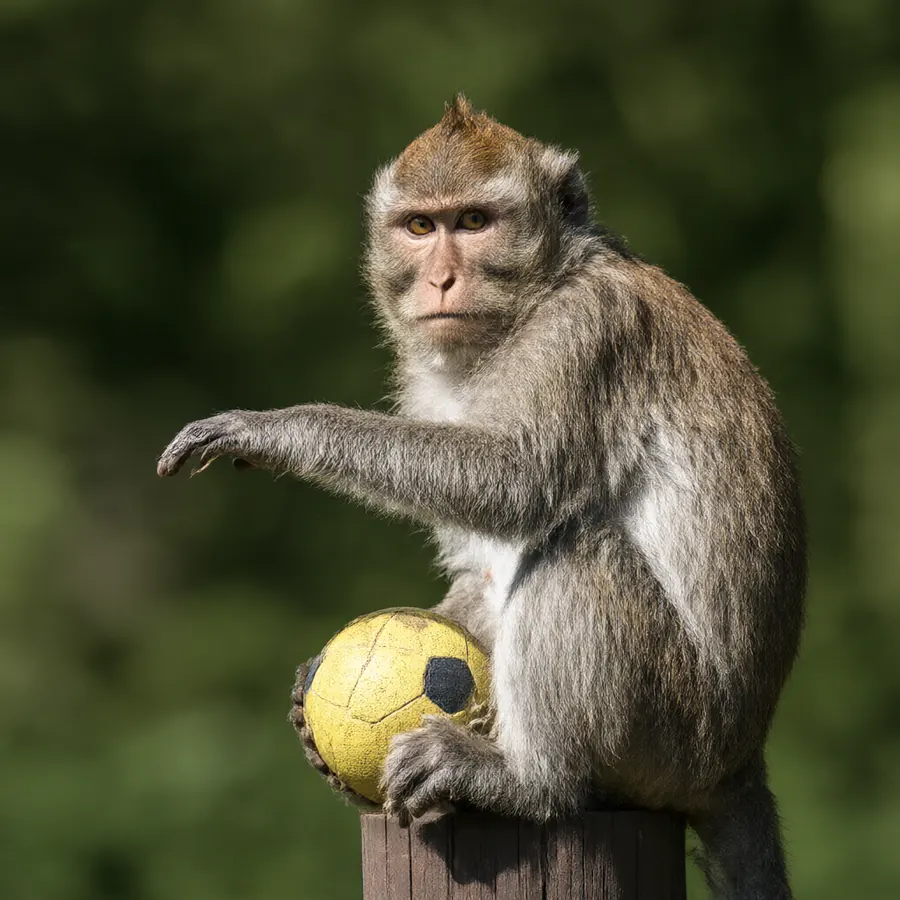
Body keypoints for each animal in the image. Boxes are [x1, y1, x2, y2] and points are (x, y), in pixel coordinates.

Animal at [157, 95, 806, 900]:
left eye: (473, 222)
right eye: (420, 227)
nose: (439, 279)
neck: (534, 300)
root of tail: (740, 759)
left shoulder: (582, 334)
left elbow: (517, 480)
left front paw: (277, 429)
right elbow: (479, 563)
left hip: (678, 732)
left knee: (577, 551)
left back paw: (529, 782)